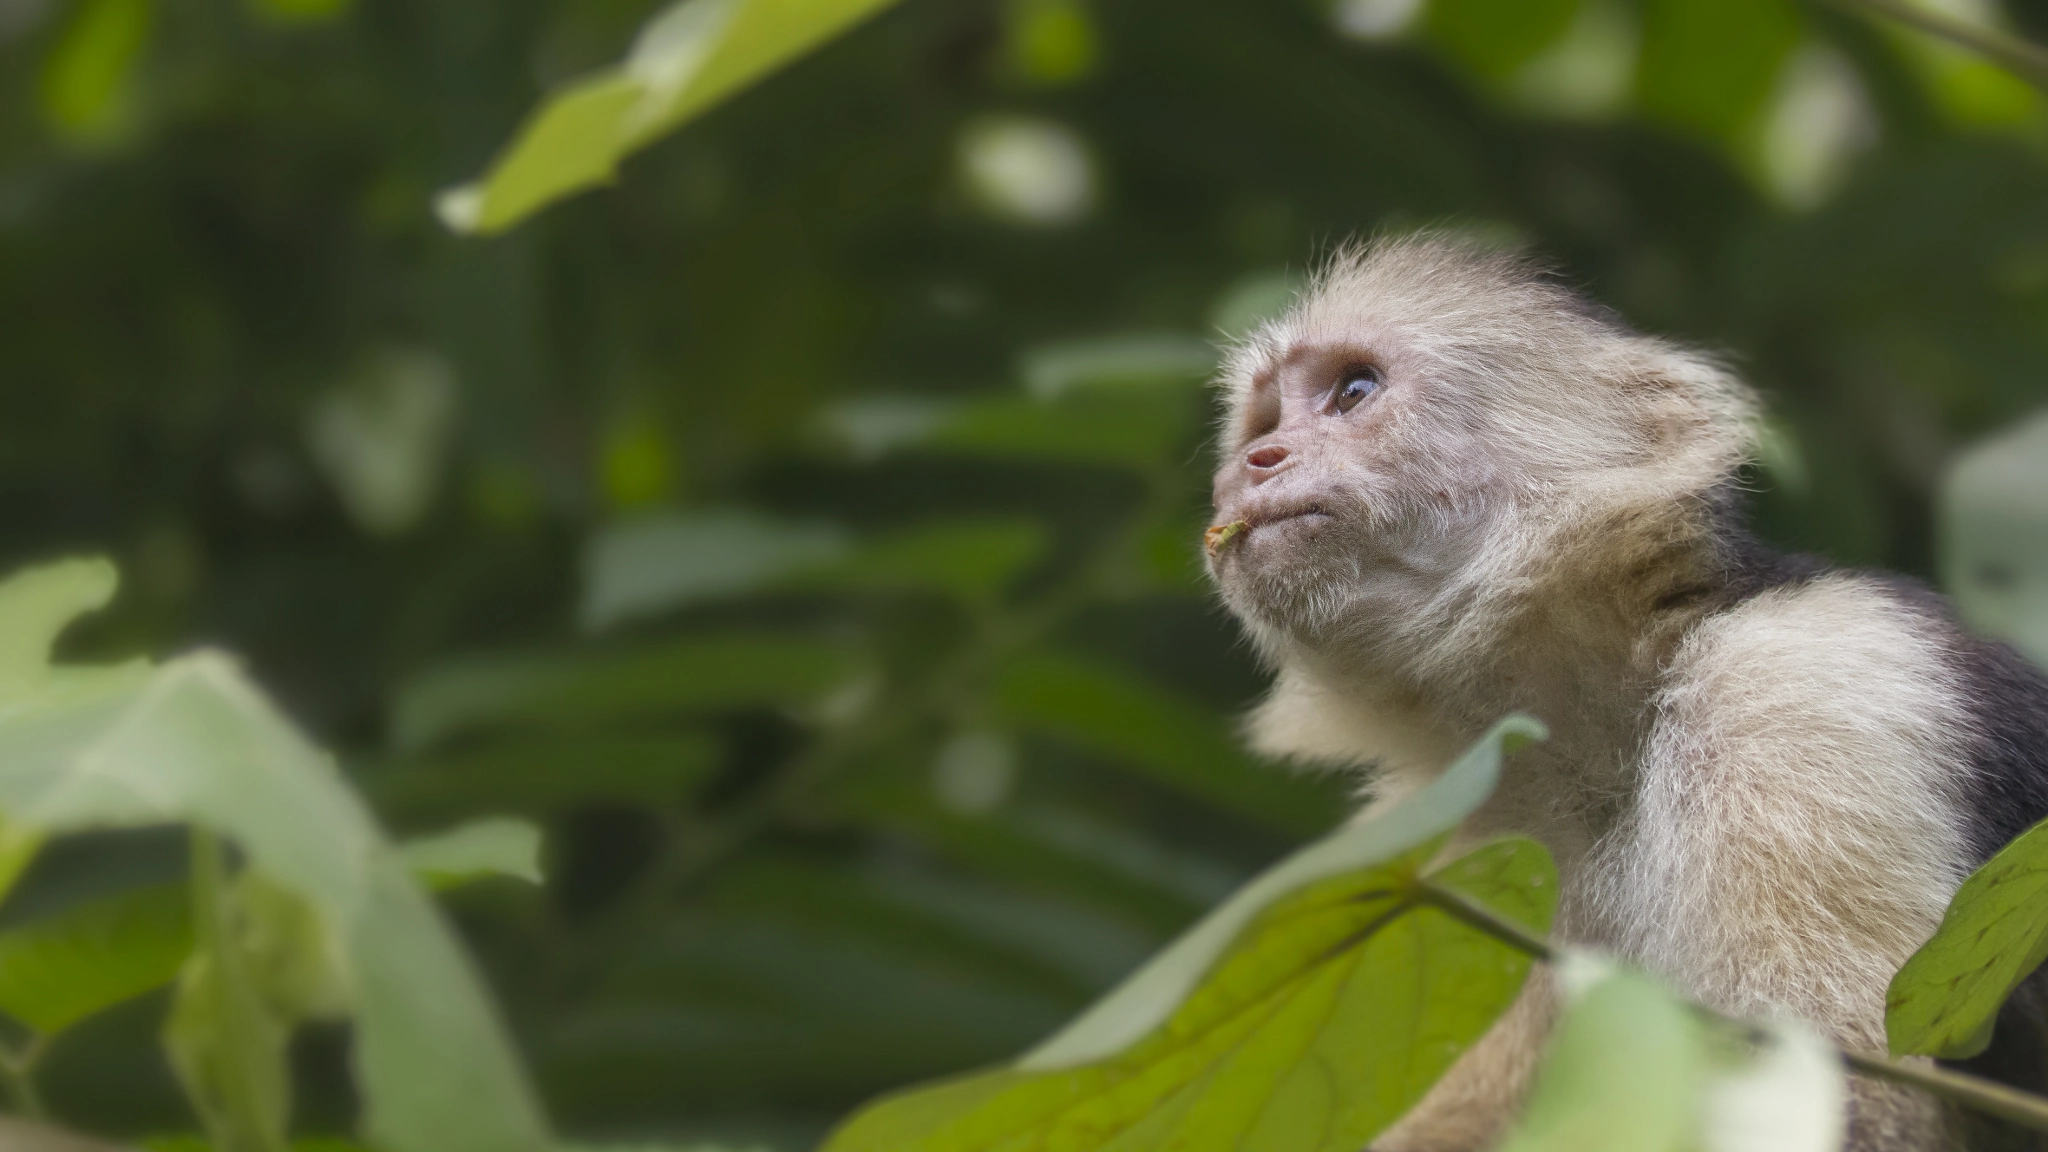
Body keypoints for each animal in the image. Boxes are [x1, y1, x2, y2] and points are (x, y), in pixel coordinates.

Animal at [1204, 233, 2048, 1147]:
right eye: (1265, 422)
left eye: (1353, 391)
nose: (1255, 462)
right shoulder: (1461, 845)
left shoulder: (1805, 692)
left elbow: (1850, 1101)